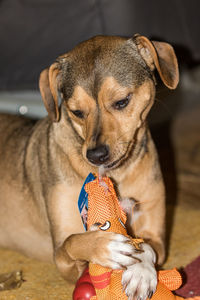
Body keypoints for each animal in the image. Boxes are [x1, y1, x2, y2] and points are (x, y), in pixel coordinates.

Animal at [0, 34, 178, 298]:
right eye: (76, 111)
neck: (116, 175)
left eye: (122, 101)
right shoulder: (61, 256)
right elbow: (72, 241)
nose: (96, 155)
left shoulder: (156, 234)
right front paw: (106, 246)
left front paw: (141, 272)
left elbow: (147, 246)